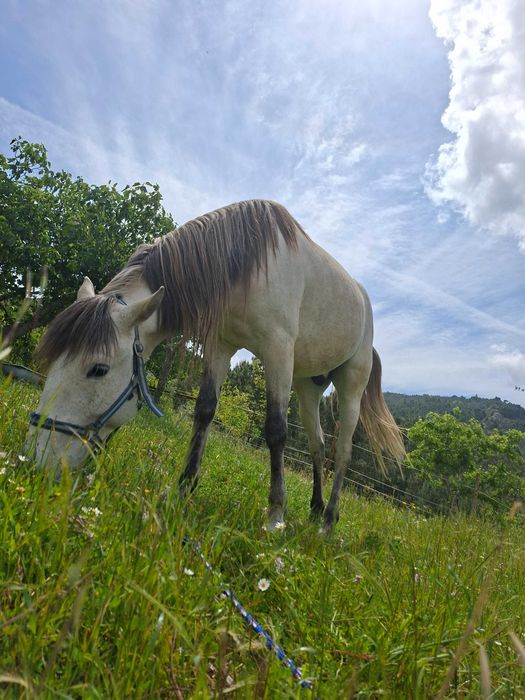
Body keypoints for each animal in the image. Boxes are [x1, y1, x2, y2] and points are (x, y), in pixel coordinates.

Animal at [26, 199, 405, 530]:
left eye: (98, 369)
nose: (37, 462)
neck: (249, 262)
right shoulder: (220, 346)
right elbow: (205, 410)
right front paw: (184, 489)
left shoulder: (277, 352)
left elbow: (276, 430)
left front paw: (275, 515)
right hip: (307, 386)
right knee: (318, 443)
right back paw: (315, 509)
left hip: (351, 385)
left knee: (342, 451)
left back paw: (328, 521)